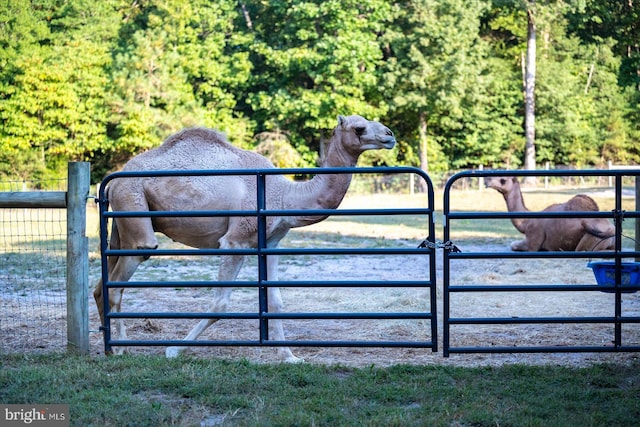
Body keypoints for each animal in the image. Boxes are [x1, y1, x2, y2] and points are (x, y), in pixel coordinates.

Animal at [94, 113, 396, 362]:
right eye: (359, 128)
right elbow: (220, 303)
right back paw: (121, 349)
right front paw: (174, 350)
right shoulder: (235, 240)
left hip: (120, 226)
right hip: (133, 207)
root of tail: (111, 184)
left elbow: (275, 301)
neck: (283, 196)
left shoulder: (271, 242)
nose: (389, 135)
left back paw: (108, 346)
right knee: (120, 281)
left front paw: (289, 357)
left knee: (102, 285)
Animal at [484, 176, 616, 252]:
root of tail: (612, 228)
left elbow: (513, 245)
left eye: (503, 180)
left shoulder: (533, 241)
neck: (526, 222)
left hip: (590, 240)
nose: (486, 181)